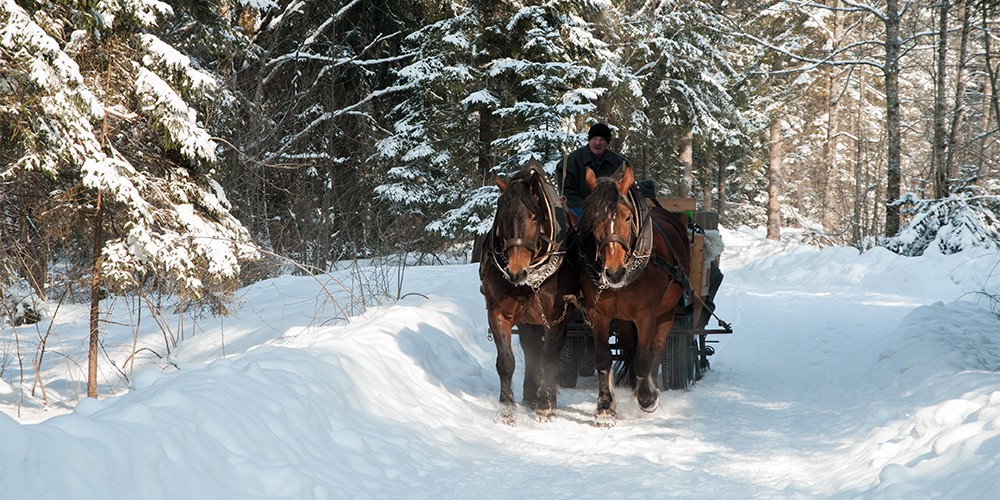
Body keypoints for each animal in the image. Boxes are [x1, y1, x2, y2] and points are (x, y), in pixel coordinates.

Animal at [476, 158, 580, 424]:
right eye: (502, 217)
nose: (516, 271)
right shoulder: (497, 312)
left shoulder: (555, 318)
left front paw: (546, 406)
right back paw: (530, 395)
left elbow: (548, 357)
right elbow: (506, 361)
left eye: (534, 217)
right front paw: (506, 410)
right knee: (531, 348)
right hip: (527, 320)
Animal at [576, 163, 692, 426]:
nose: (614, 272)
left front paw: (647, 399)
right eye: (593, 218)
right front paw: (605, 408)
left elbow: (643, 358)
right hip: (623, 318)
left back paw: (651, 388)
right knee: (630, 346)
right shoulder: (599, 314)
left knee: (656, 349)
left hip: (667, 311)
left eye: (627, 216)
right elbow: (603, 359)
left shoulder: (646, 315)